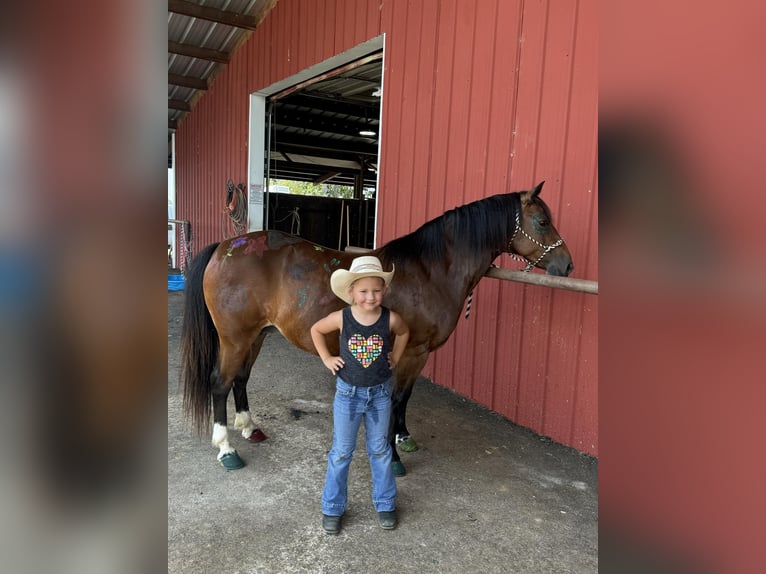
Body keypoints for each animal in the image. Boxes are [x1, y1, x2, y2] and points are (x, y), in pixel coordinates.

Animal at [182, 184, 576, 476]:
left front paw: (403, 438)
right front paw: (395, 458)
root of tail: (225, 246)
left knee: (241, 379)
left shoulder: (419, 354)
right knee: (220, 383)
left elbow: (406, 398)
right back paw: (226, 449)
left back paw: (250, 428)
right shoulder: (411, 351)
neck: (429, 271)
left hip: (257, 335)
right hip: (235, 338)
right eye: (542, 221)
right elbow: (398, 398)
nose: (567, 265)